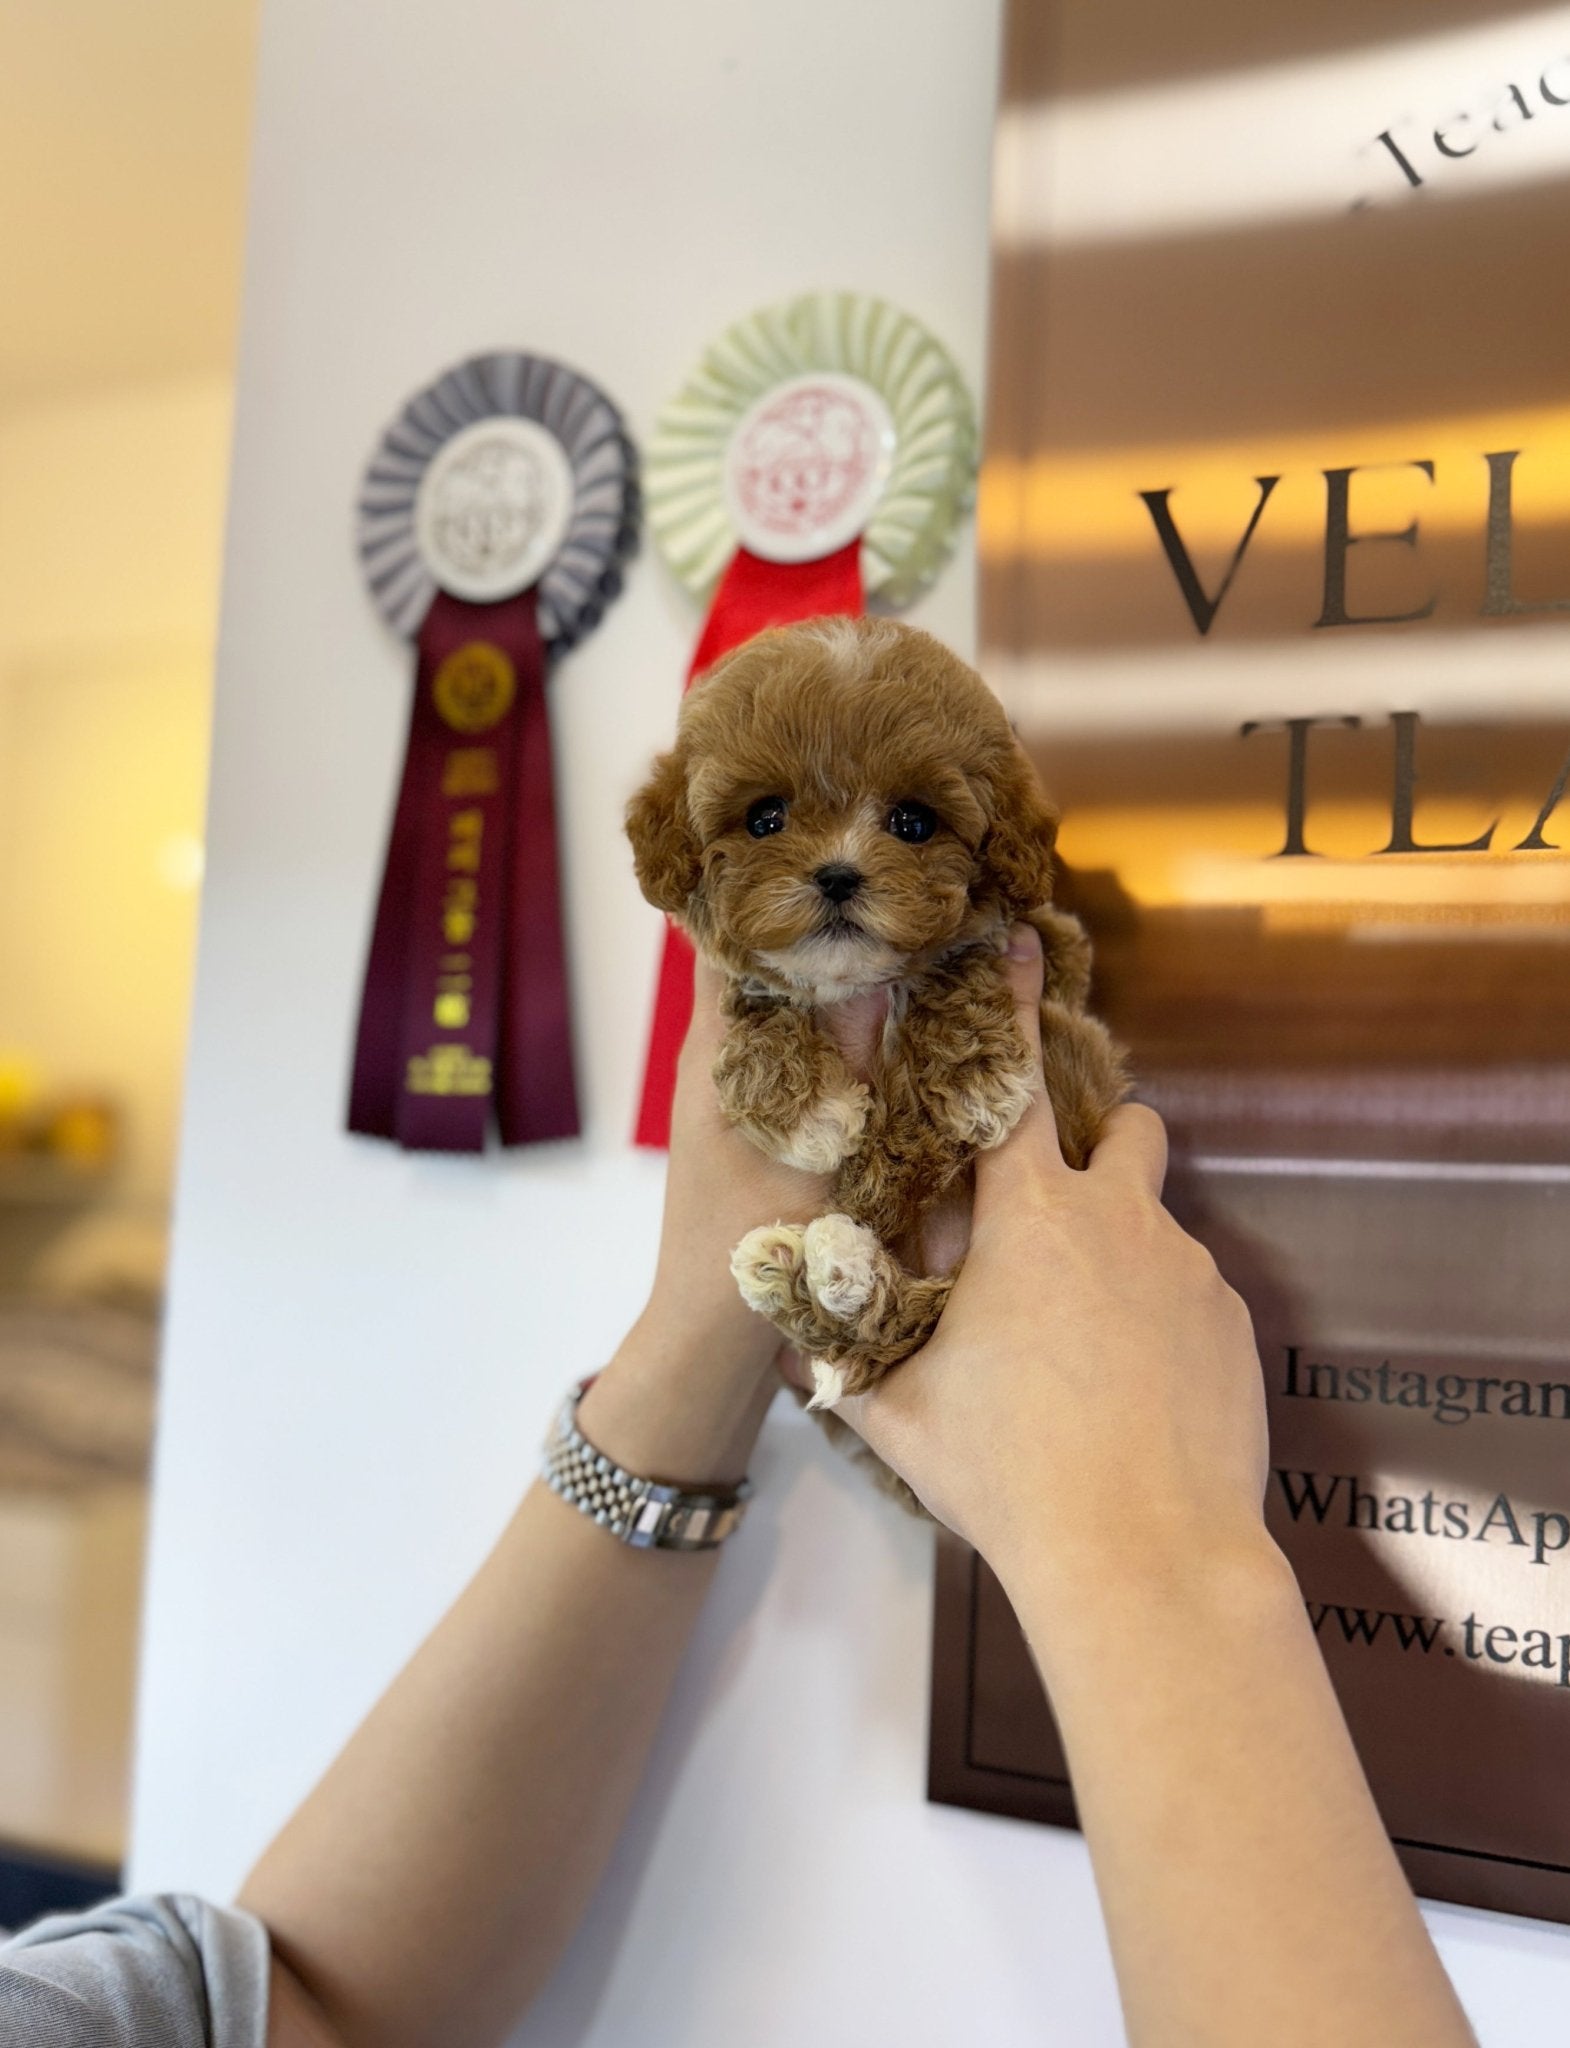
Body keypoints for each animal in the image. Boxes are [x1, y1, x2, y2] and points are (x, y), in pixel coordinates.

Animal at [626, 610, 1129, 1490]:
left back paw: (840, 1265)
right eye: (765, 818)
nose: (837, 875)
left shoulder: (1054, 954)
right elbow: (757, 1002)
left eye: (914, 823)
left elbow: (957, 967)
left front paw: (969, 1082)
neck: (854, 982)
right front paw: (811, 1114)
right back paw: (809, 1269)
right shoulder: (743, 984)